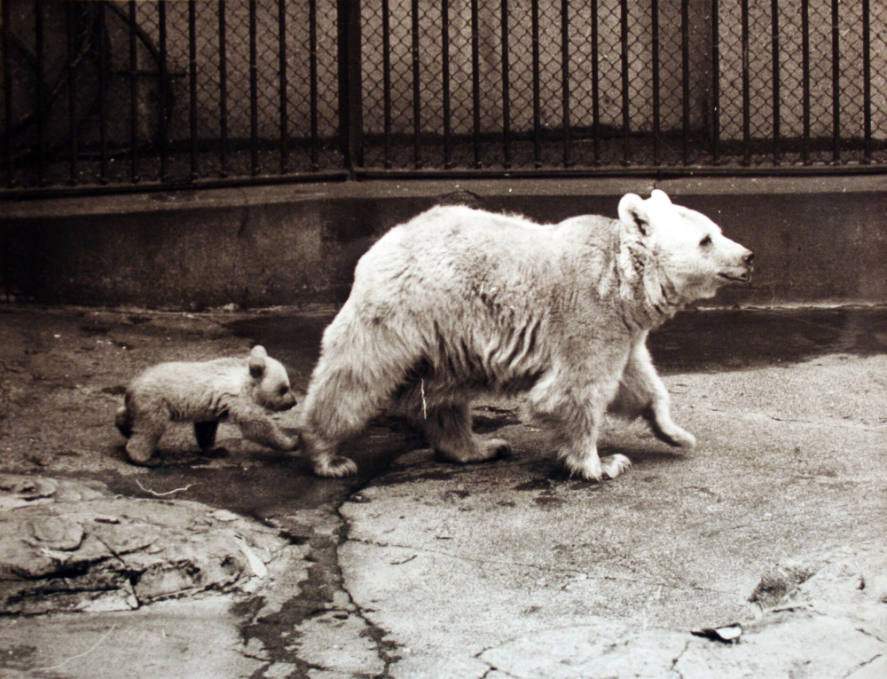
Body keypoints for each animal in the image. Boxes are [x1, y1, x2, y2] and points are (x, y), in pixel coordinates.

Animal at [296, 189, 748, 480]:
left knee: (443, 393)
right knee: (355, 375)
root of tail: (386, 241)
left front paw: (677, 433)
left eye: (716, 228)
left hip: (447, 334)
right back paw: (327, 455)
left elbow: (639, 380)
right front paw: (601, 464)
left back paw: (479, 446)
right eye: (706, 239)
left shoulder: (622, 330)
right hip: (405, 313)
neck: (620, 281)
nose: (748, 257)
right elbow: (574, 391)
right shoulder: (586, 316)